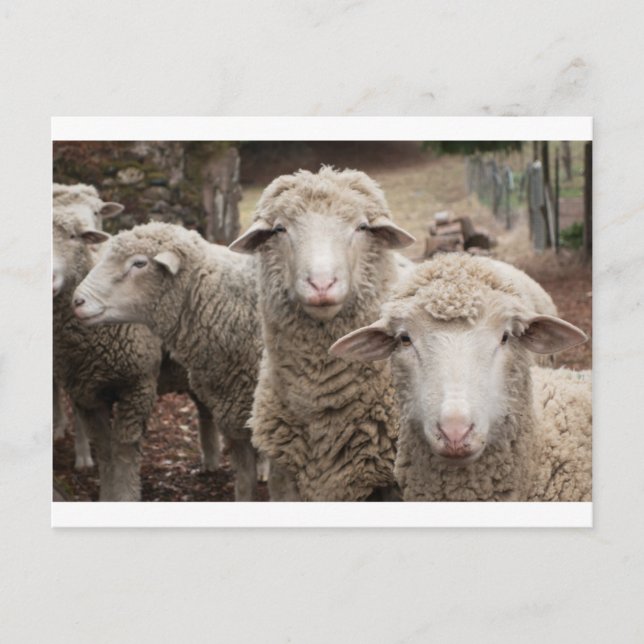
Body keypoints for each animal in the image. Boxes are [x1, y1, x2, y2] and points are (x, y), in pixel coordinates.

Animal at [53, 209, 161, 500]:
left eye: (73, 236)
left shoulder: (138, 385)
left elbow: (124, 453)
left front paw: (125, 496)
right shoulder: (88, 395)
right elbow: (105, 450)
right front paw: (107, 496)